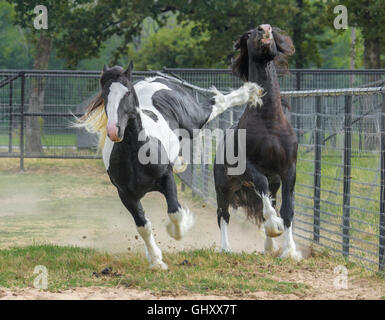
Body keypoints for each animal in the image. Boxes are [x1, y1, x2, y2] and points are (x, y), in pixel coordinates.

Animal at [76, 61, 262, 268]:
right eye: (105, 94)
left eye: (127, 93)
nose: (114, 131)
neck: (135, 155)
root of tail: (157, 79)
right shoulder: (126, 195)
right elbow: (143, 225)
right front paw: (156, 259)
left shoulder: (166, 178)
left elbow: (175, 213)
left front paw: (183, 226)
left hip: (194, 120)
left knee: (217, 102)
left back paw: (251, 92)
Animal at [212, 24, 302, 260]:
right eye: (251, 33)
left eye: (271, 29)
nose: (265, 29)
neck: (268, 120)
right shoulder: (249, 167)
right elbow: (262, 189)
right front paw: (274, 226)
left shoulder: (288, 169)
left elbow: (287, 210)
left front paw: (289, 250)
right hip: (224, 186)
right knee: (223, 214)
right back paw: (226, 248)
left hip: (273, 183)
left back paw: (269, 247)